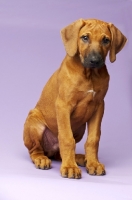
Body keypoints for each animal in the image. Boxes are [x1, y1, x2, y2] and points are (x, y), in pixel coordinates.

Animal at [23, 18, 127, 178]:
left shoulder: (99, 106)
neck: (89, 74)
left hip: (80, 128)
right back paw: (42, 159)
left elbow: (93, 139)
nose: (95, 61)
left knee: (58, 154)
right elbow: (67, 138)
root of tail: (49, 150)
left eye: (106, 40)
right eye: (85, 38)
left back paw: (79, 158)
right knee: (35, 150)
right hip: (34, 122)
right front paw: (69, 167)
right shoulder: (63, 105)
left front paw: (93, 163)